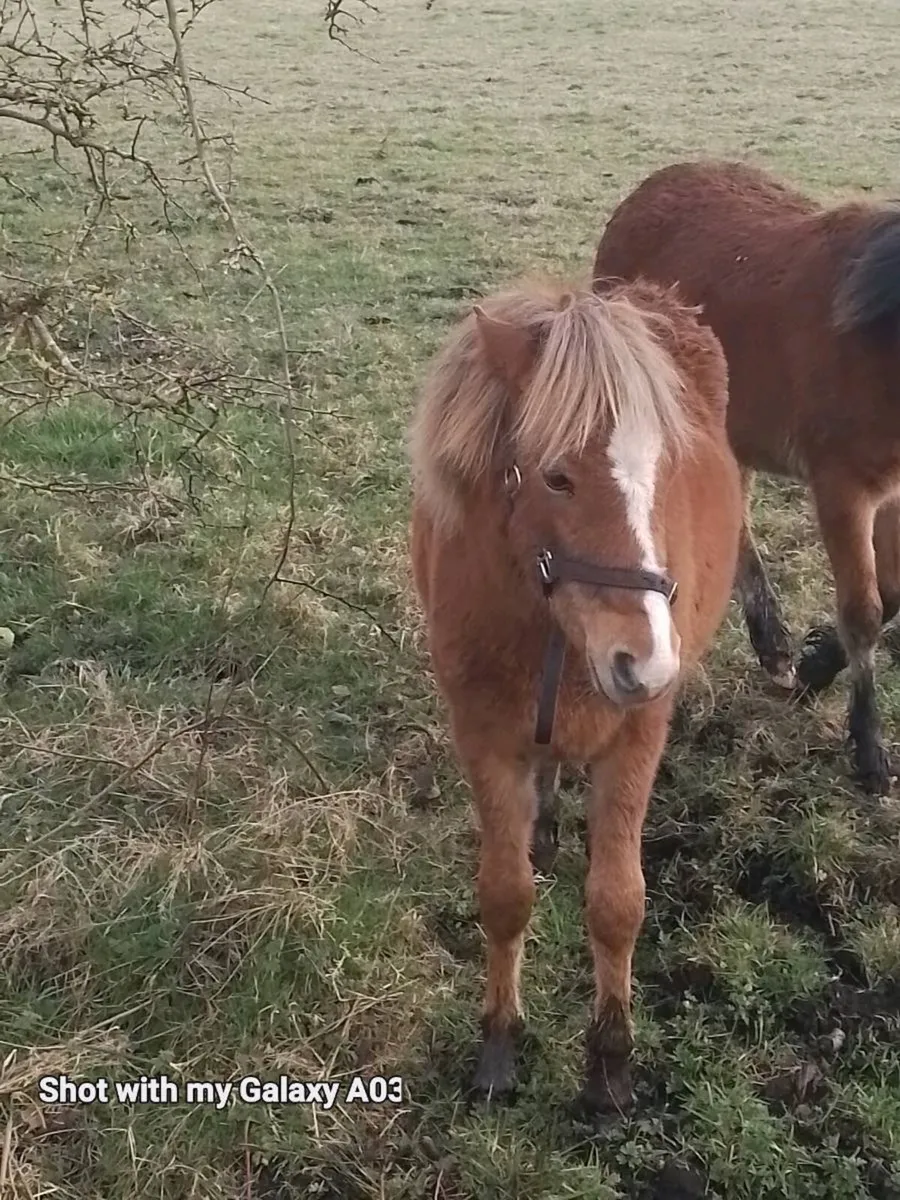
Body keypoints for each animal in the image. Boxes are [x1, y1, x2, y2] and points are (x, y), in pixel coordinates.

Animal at [408, 277, 742, 1112]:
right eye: (557, 475)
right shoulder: (484, 736)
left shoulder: (636, 739)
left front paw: (610, 1063)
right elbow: (504, 893)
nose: (646, 662)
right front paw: (499, 1042)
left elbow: (617, 903)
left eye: (666, 472)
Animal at [593, 160, 900, 795]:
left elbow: (891, 595)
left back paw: (773, 643)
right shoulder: (842, 488)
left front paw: (812, 666)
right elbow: (864, 610)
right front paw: (869, 750)